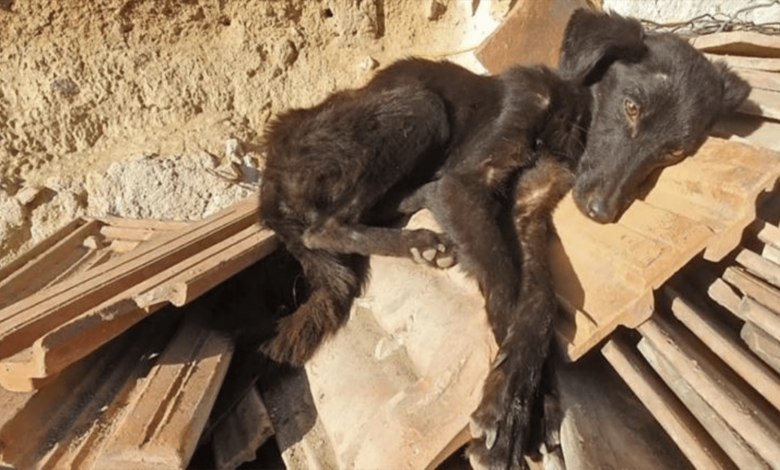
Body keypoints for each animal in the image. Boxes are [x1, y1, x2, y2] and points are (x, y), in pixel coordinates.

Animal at [258, 10, 748, 470]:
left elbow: (540, 303)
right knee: (323, 228)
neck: (568, 117)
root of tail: (270, 170)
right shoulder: (467, 183)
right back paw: (418, 237)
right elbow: (505, 284)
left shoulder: (526, 211)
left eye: (675, 151)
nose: (600, 212)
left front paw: (532, 404)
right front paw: (513, 411)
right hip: (418, 106)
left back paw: (421, 233)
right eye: (631, 106)